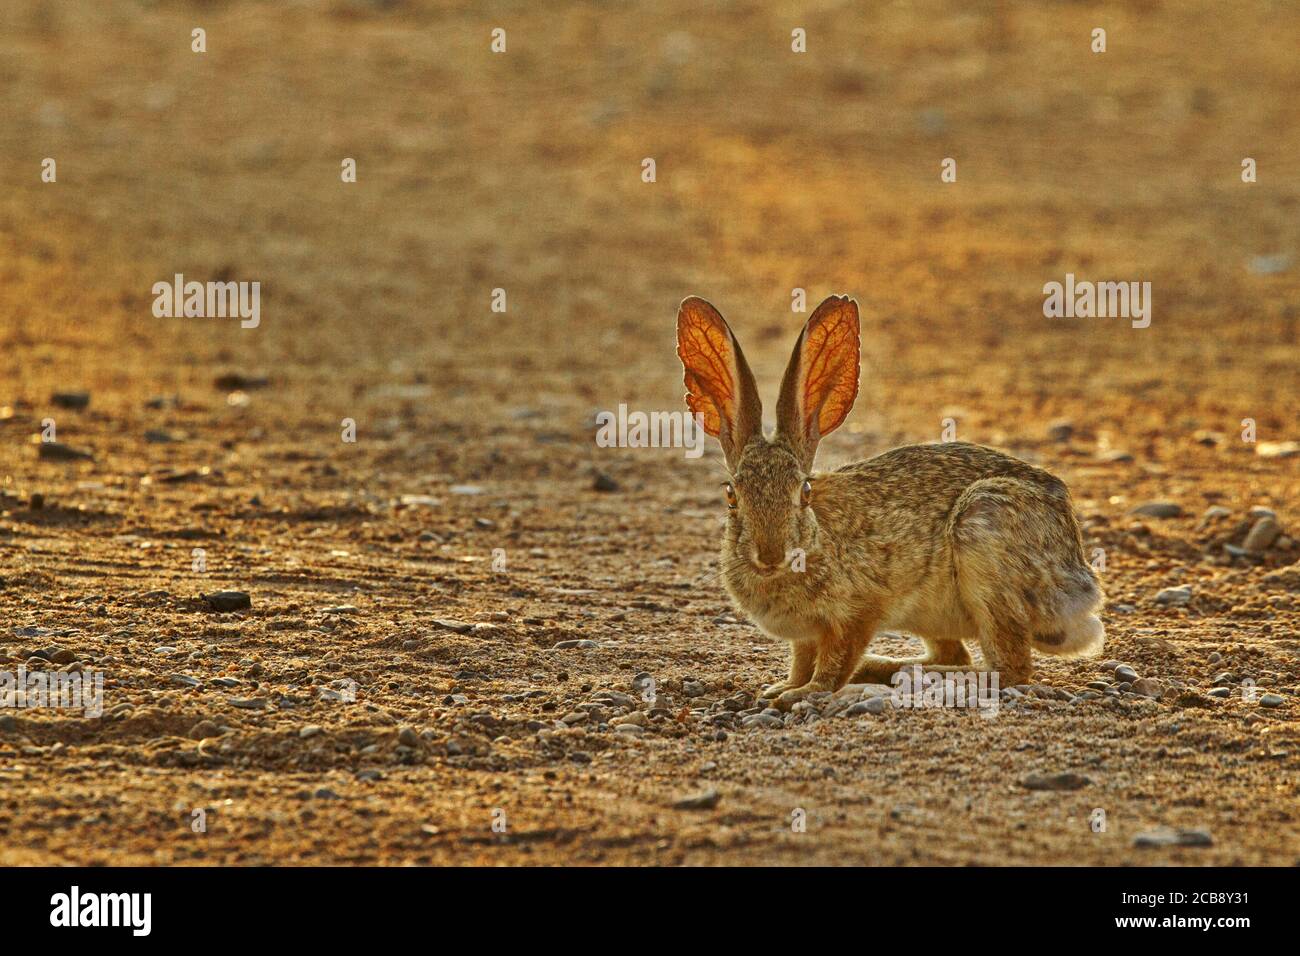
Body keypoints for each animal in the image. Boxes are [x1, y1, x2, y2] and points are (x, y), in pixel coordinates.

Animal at [676, 294, 1104, 710]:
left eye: (805, 492)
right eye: (731, 494)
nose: (770, 554)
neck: (815, 541)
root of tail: (1081, 582)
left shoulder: (857, 613)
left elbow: (834, 660)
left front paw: (804, 693)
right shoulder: (805, 634)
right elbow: (801, 659)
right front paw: (782, 687)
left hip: (985, 541)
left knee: (1007, 669)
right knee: (956, 654)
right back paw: (890, 669)